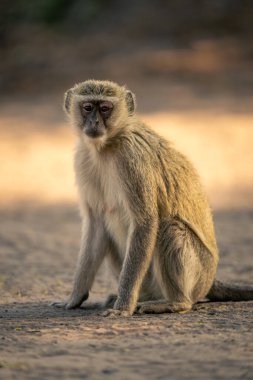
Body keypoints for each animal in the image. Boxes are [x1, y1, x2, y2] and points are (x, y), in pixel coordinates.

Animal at [51, 78, 253, 316]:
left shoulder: (132, 159)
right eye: (88, 107)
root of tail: (210, 280)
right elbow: (96, 223)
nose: (94, 123)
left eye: (105, 108)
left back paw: (175, 302)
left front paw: (123, 307)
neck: (107, 146)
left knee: (168, 227)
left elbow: (145, 222)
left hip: (198, 275)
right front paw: (74, 298)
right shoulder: (83, 159)